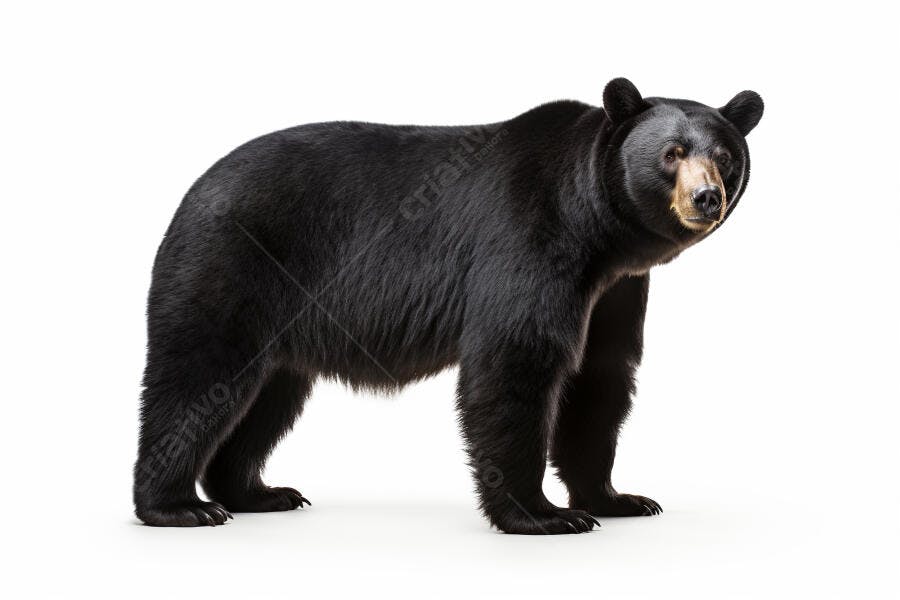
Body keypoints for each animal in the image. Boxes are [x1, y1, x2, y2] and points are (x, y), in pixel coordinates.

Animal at [134, 78, 763, 534]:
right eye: (672, 153)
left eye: (725, 154)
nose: (707, 197)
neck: (597, 231)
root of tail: (192, 191)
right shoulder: (529, 240)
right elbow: (515, 361)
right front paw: (543, 514)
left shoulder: (616, 289)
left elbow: (601, 378)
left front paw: (618, 498)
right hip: (232, 263)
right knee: (198, 375)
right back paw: (178, 506)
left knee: (267, 397)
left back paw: (255, 492)